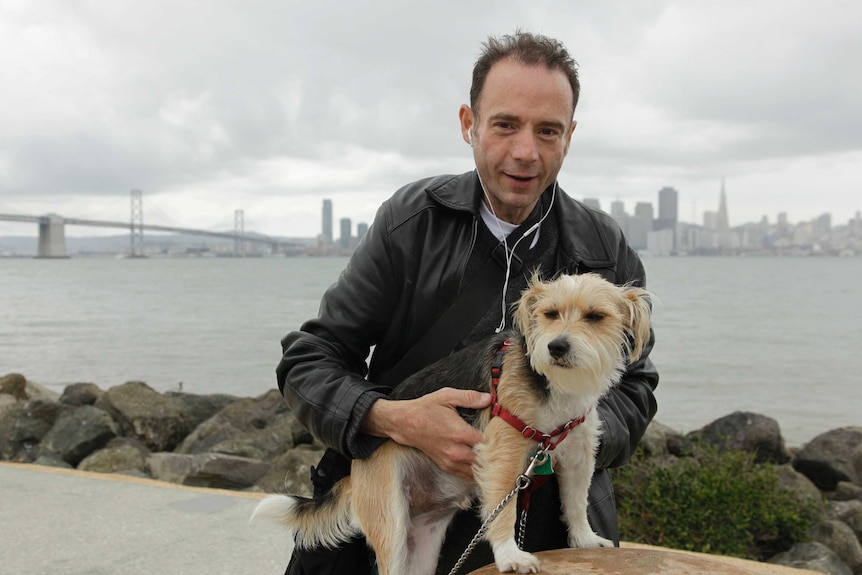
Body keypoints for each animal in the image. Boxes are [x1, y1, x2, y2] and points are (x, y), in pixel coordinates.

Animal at [253, 274, 652, 575]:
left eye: (595, 317)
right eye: (550, 314)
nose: (556, 347)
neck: (556, 385)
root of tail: (354, 469)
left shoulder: (578, 454)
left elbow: (576, 504)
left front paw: (585, 539)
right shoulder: (503, 454)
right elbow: (504, 510)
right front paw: (510, 554)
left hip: (422, 544)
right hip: (390, 525)